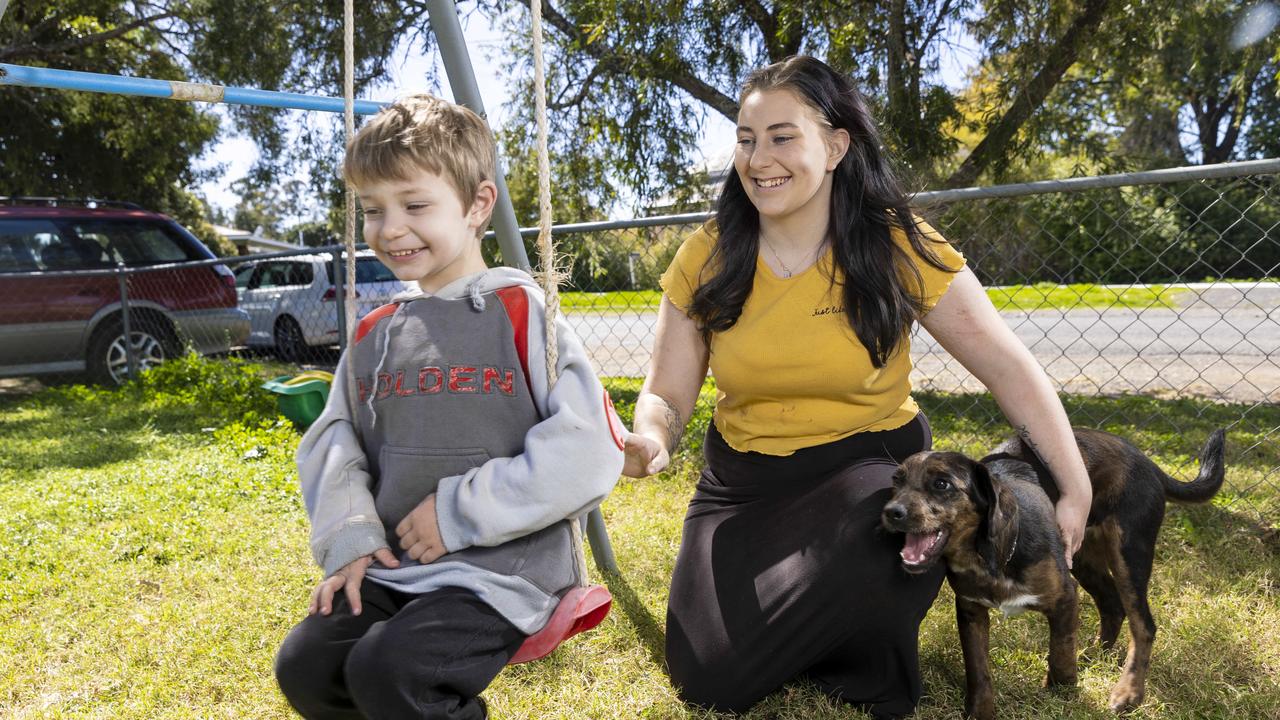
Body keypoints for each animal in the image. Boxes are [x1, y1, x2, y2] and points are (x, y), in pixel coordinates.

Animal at [875, 427, 1223, 712]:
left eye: (942, 484)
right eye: (896, 481)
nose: (891, 512)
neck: (990, 556)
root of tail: (1149, 463)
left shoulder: (1065, 596)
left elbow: (1060, 649)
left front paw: (1063, 688)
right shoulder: (971, 610)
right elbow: (979, 671)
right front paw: (980, 712)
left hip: (1129, 553)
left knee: (1143, 625)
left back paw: (1129, 692)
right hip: (1083, 556)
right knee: (1111, 604)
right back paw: (1094, 656)